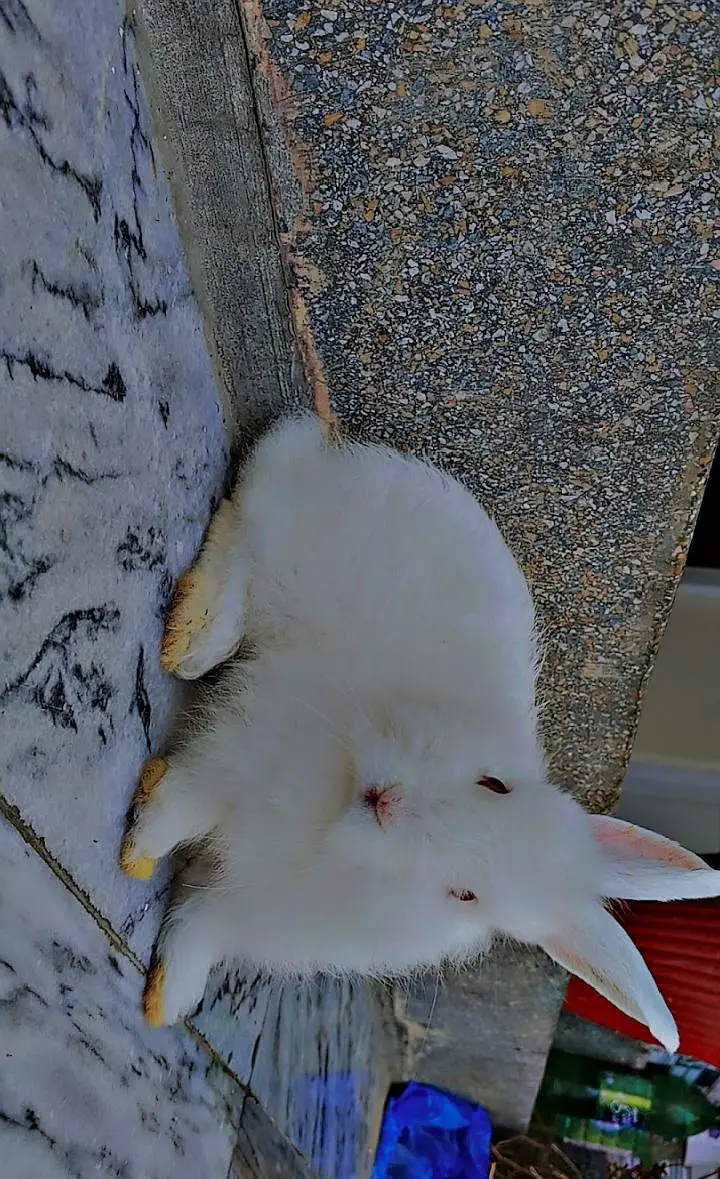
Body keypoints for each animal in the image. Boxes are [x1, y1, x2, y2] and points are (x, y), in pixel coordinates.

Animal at [119, 413, 720, 1050]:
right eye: (494, 784)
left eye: (465, 894)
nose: (388, 804)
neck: (333, 826)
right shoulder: (237, 756)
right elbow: (177, 809)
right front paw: (136, 858)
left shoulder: (244, 906)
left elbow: (195, 931)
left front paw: (164, 1004)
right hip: (298, 550)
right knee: (249, 511)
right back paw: (190, 640)